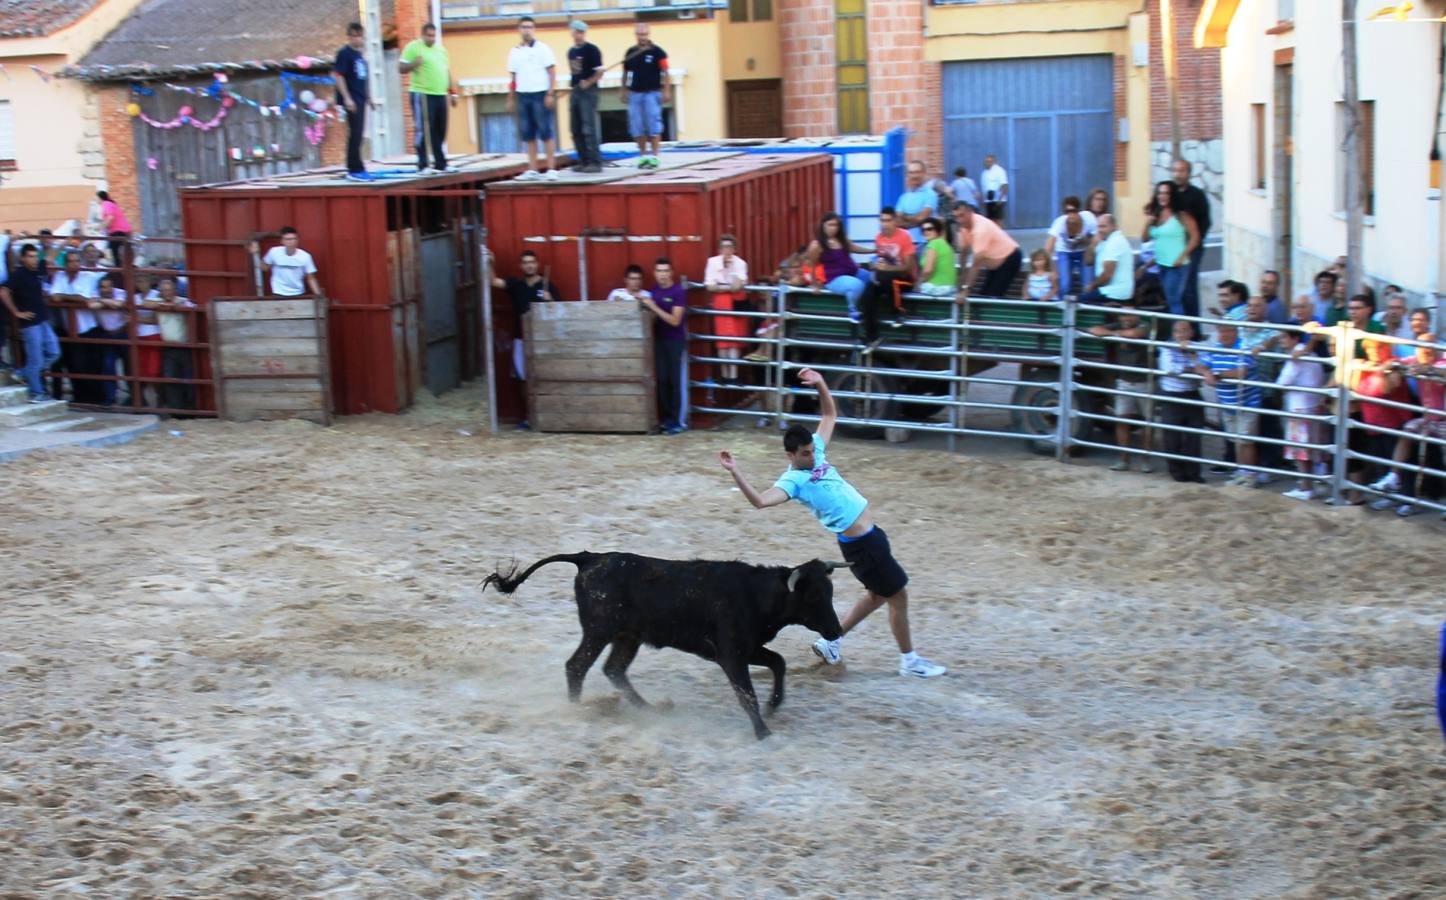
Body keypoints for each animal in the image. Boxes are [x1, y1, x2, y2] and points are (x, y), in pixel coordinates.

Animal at [482, 558, 844, 740]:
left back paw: (649, 709)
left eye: (830, 592)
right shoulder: (731, 656)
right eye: (813, 597)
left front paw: (774, 705)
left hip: (627, 636)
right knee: (577, 666)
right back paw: (578, 709)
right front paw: (762, 731)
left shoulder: (748, 649)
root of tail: (589, 558)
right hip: (598, 632)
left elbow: (778, 663)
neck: (755, 594)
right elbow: (746, 694)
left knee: (613, 669)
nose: (837, 630)